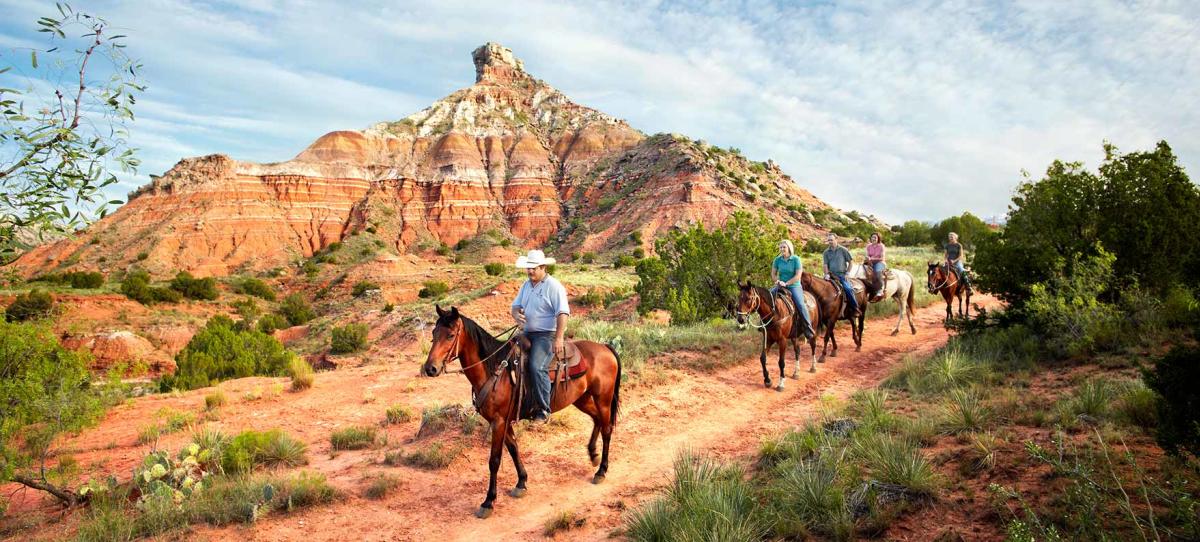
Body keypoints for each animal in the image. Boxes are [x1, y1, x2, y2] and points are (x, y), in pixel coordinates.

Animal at [422, 306, 624, 518]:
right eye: (434, 334)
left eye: (451, 335)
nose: (430, 368)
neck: (495, 370)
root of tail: (605, 347)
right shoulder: (502, 421)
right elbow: (513, 449)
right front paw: (521, 482)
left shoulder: (499, 422)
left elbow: (494, 460)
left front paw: (489, 501)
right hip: (581, 399)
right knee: (597, 420)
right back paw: (593, 455)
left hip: (603, 399)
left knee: (607, 429)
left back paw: (601, 470)